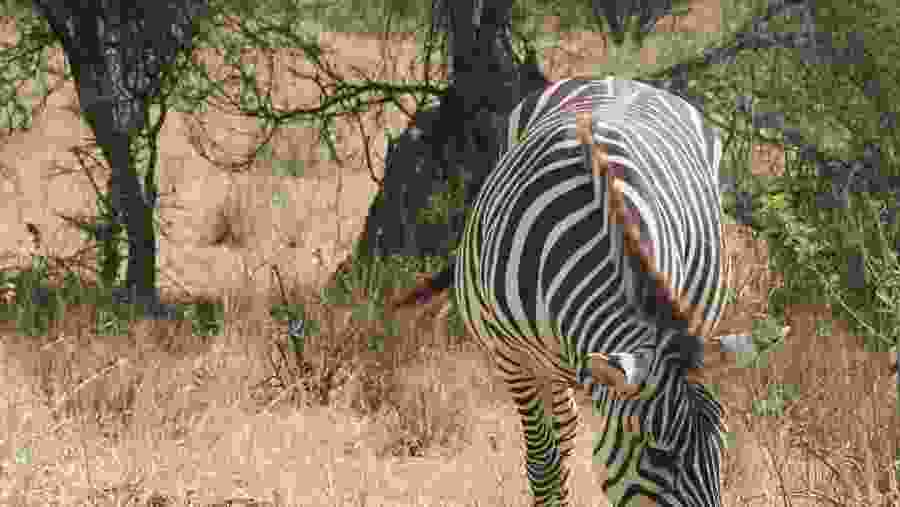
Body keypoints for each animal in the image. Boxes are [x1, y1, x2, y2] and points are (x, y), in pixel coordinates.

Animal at [393, 77, 755, 506]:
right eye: (658, 455)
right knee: (560, 433)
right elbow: (544, 465)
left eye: (722, 447)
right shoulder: (514, 358)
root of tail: (620, 79)